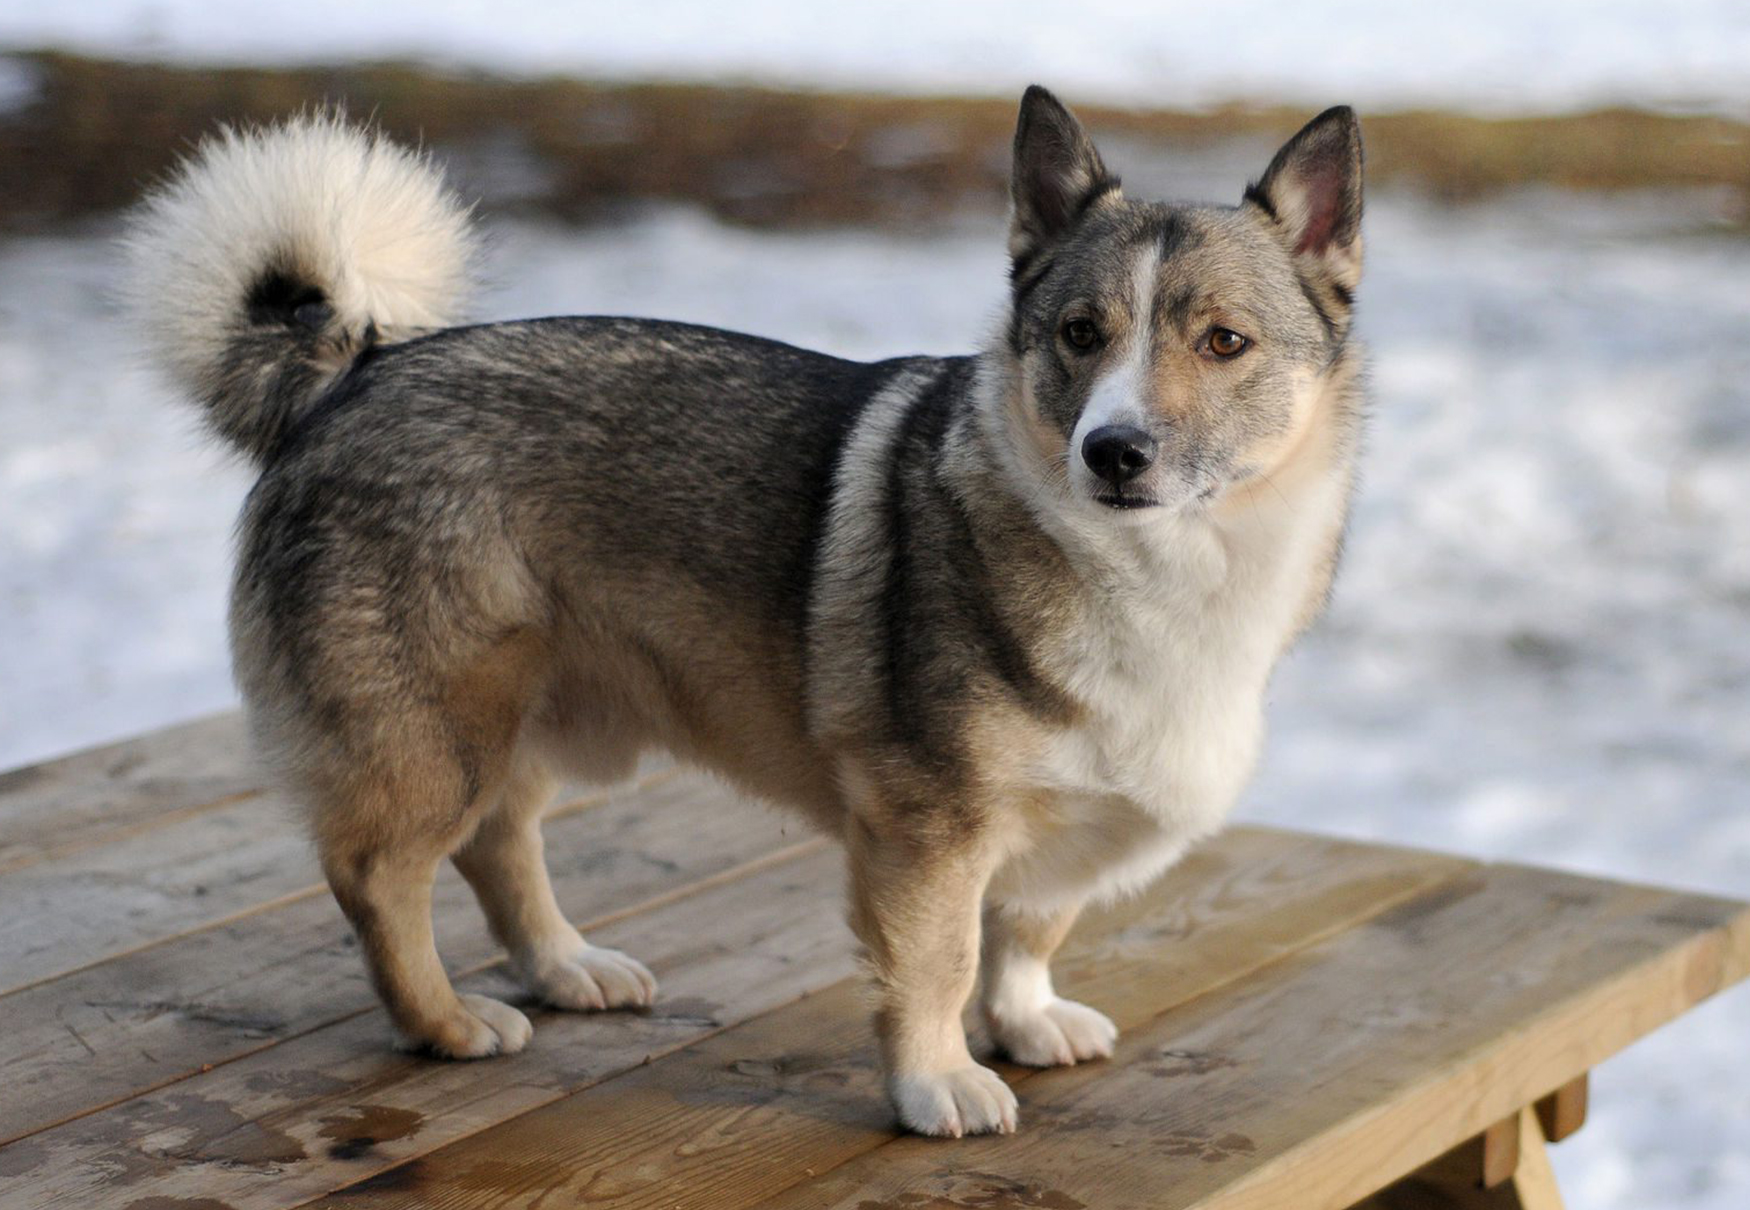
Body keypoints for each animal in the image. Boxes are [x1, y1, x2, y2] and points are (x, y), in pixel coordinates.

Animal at [129, 85, 1372, 1134]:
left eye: (1223, 342)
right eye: (1080, 334)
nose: (1111, 451)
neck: (1161, 569)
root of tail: (355, 371)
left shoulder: (1039, 832)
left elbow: (1026, 929)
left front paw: (1021, 1021)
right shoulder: (928, 826)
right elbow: (937, 963)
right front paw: (936, 1081)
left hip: (530, 717)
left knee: (499, 841)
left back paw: (565, 964)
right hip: (438, 733)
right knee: (379, 876)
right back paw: (442, 1021)